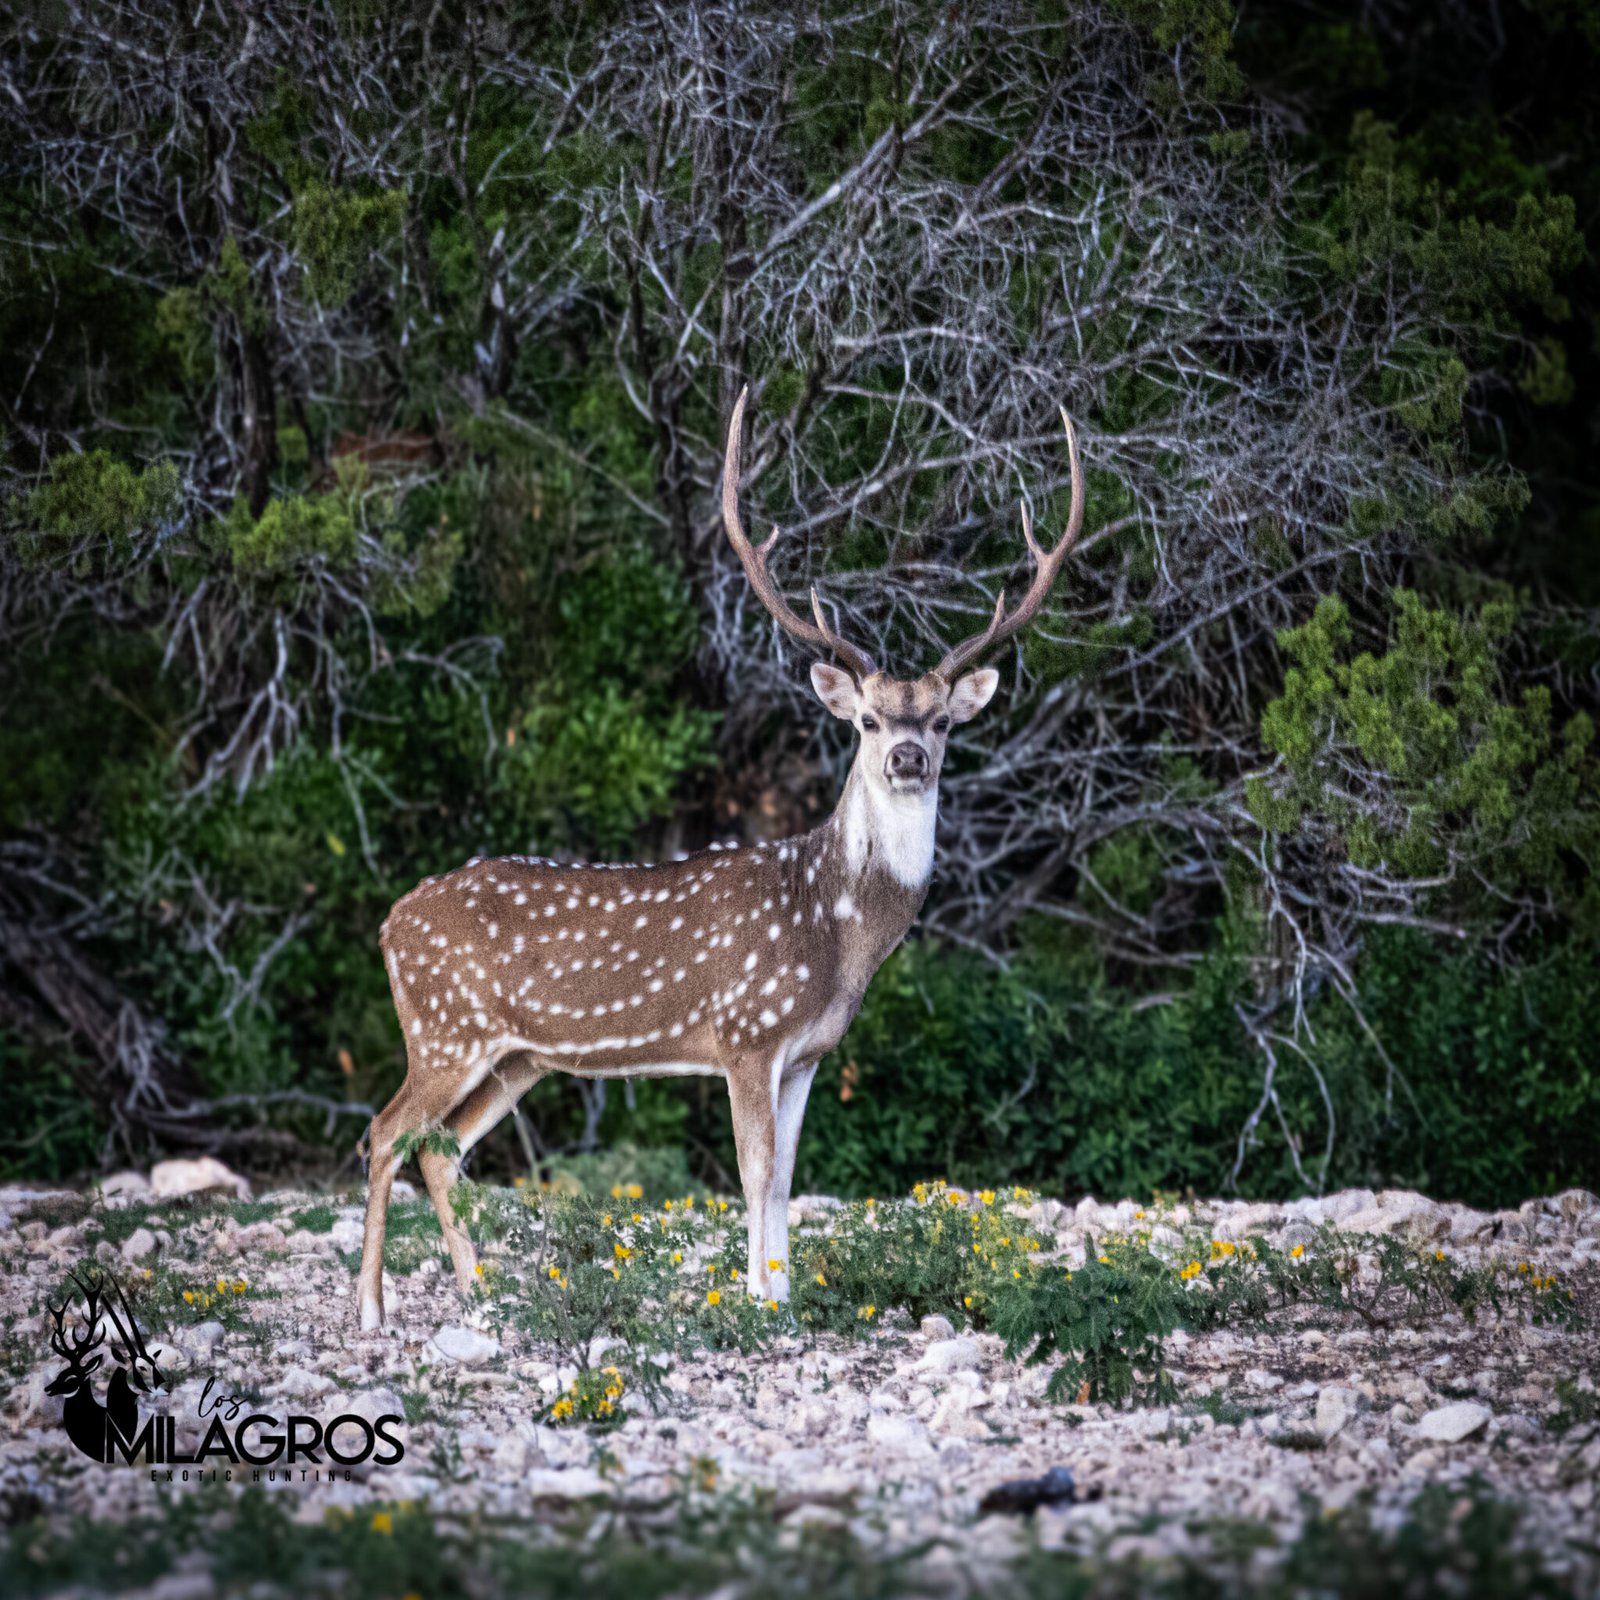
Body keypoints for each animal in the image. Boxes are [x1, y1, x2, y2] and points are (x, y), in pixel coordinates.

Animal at [360, 384, 1088, 1324]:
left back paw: (480, 1290)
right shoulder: (746, 1030)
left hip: (513, 1055)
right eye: (866, 720)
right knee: (385, 1131)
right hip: (443, 1029)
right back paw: (373, 1309)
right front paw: (757, 1300)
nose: (907, 758)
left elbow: (785, 1177)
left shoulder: (807, 1051)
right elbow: (751, 1170)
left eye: (942, 721)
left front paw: (782, 1296)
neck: (836, 930)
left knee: (440, 1145)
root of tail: (387, 925)